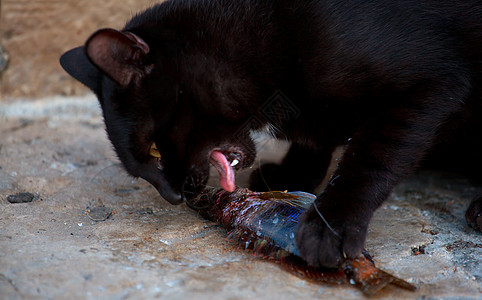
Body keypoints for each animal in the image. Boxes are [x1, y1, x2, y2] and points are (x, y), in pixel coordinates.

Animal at [60, 0, 482, 268]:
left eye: (154, 152)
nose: (173, 196)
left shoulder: (431, 86)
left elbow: (369, 160)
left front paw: (330, 226)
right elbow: (313, 139)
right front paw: (292, 173)